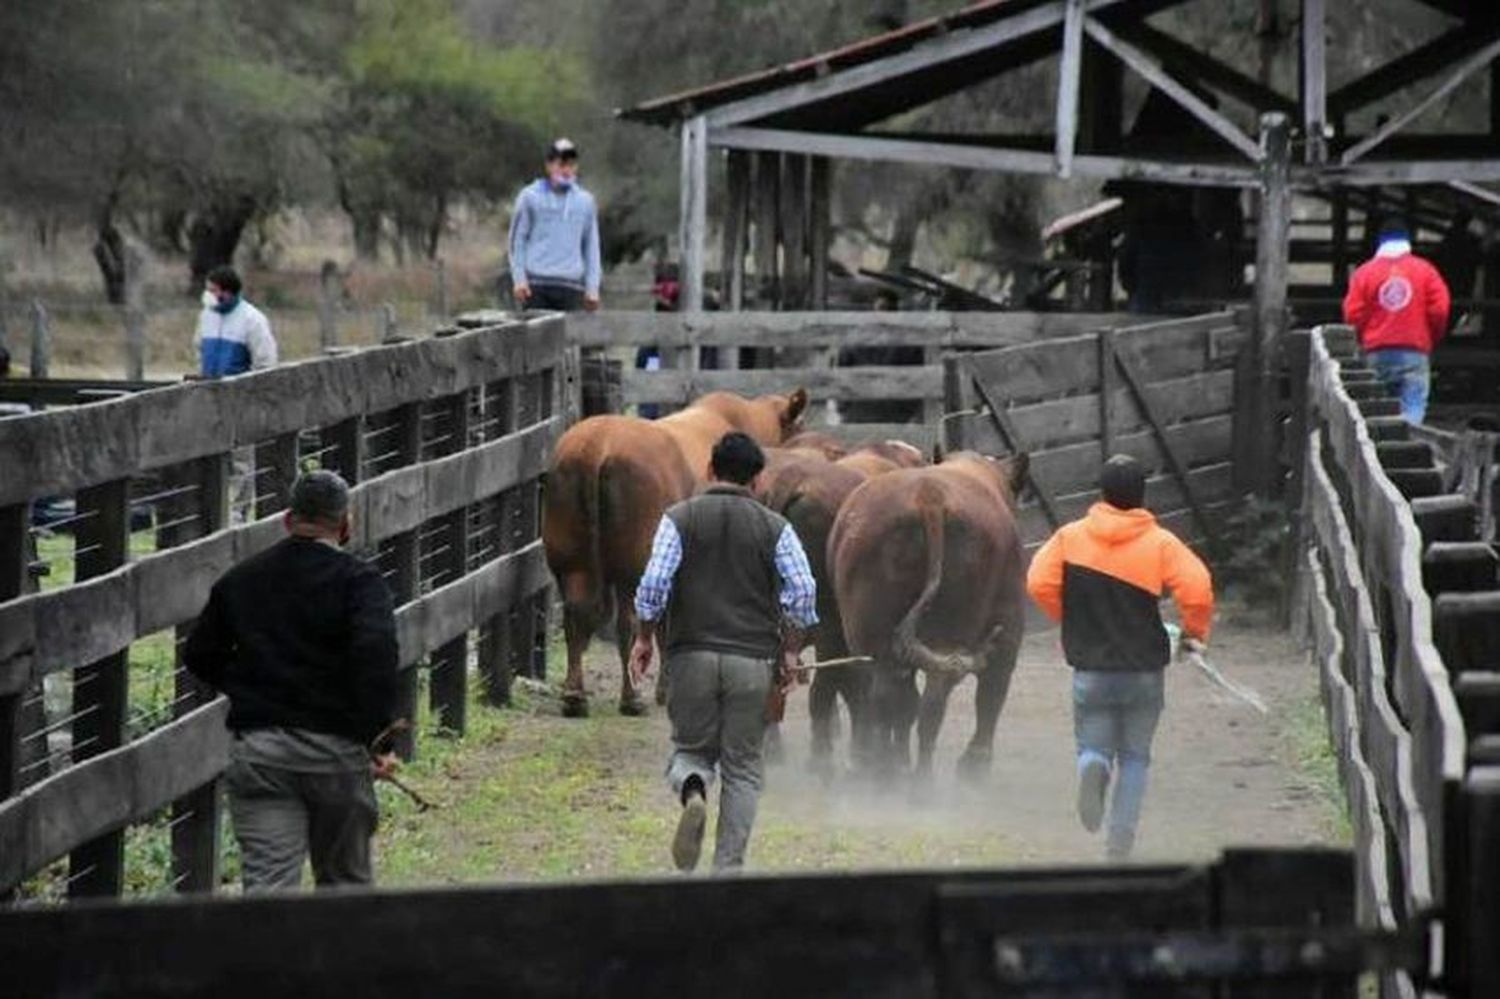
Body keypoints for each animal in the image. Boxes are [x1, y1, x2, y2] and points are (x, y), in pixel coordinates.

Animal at [543, 384, 804, 711]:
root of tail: (596, 445)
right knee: (629, 623)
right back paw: (630, 697)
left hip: (568, 555)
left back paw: (574, 694)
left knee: (576, 614)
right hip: (635, 559)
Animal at [828, 450, 1026, 780]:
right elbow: (992, 693)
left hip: (870, 636)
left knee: (886, 696)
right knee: (933, 702)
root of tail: (929, 497)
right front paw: (975, 764)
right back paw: (920, 779)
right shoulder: (1009, 629)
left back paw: (884, 768)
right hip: (951, 635)